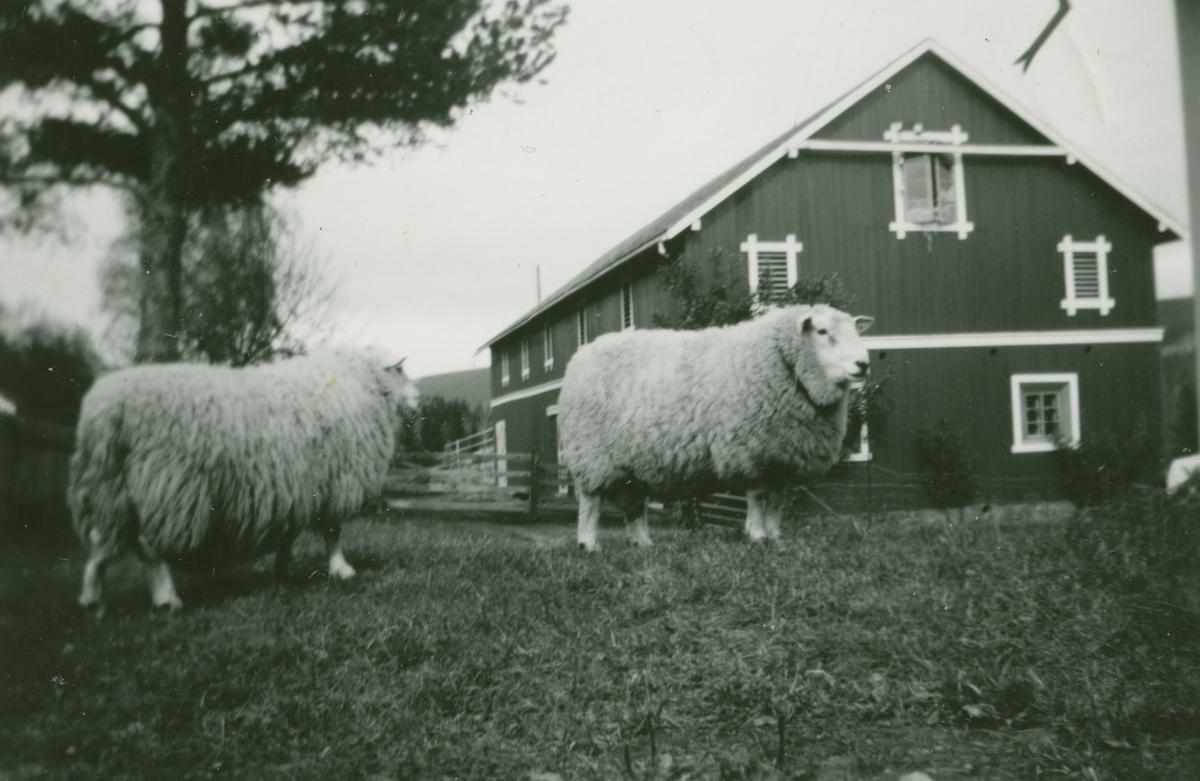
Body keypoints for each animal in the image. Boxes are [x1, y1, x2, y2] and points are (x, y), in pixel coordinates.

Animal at [70, 350, 420, 614]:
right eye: (401, 369)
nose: (419, 399)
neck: (360, 382)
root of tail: (108, 411)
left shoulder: (295, 486)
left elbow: (290, 534)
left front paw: (282, 572)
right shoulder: (334, 480)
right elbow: (333, 530)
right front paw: (341, 569)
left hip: (113, 488)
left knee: (101, 541)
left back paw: (91, 599)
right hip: (166, 486)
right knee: (149, 548)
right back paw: (167, 599)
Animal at [561, 302, 873, 551]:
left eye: (856, 331)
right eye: (822, 332)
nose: (863, 364)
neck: (783, 364)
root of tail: (580, 355)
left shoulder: (779, 456)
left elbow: (775, 499)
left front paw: (775, 536)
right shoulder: (750, 451)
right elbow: (757, 496)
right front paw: (757, 534)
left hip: (631, 464)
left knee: (636, 505)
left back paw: (644, 544)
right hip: (592, 456)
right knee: (590, 502)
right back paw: (589, 544)